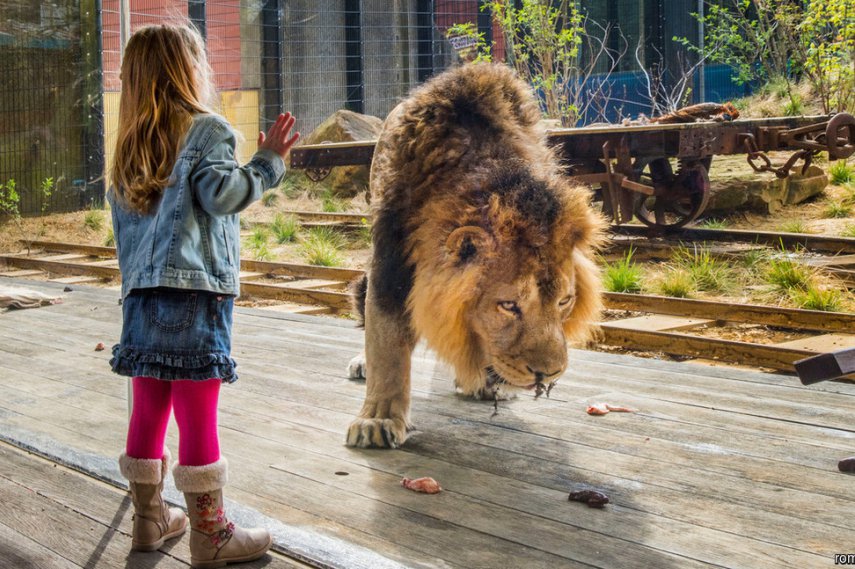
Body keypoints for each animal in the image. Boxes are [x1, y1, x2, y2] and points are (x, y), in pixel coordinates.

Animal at [346, 60, 600, 446]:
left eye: (564, 302)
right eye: (508, 305)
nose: (549, 374)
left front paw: (485, 381)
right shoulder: (391, 263)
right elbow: (386, 343)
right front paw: (378, 419)